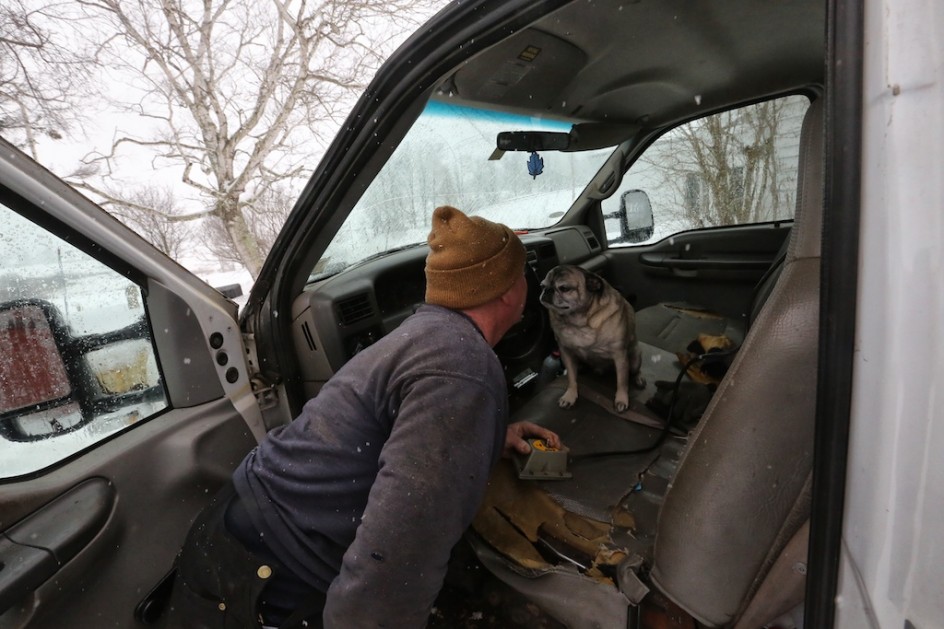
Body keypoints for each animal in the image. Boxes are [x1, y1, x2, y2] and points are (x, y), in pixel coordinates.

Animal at [544, 264, 644, 412]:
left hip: (635, 358)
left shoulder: (620, 356)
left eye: (564, 288)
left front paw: (621, 399)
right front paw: (570, 395)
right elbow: (571, 378)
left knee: (635, 371)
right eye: (542, 285)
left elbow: (622, 381)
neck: (579, 322)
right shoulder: (566, 352)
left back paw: (639, 379)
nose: (547, 290)